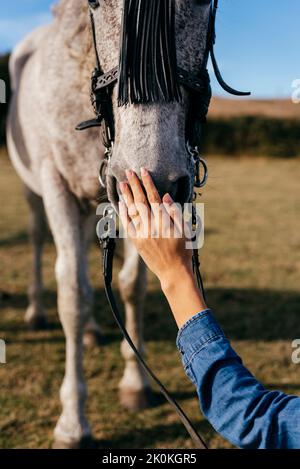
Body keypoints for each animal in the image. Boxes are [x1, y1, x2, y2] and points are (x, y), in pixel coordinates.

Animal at [7, 0, 216, 446]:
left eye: (202, 3)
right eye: (96, 4)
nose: (158, 179)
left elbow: (131, 285)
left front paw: (136, 384)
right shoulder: (58, 187)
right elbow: (72, 294)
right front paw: (72, 422)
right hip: (35, 193)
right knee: (37, 238)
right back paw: (36, 311)